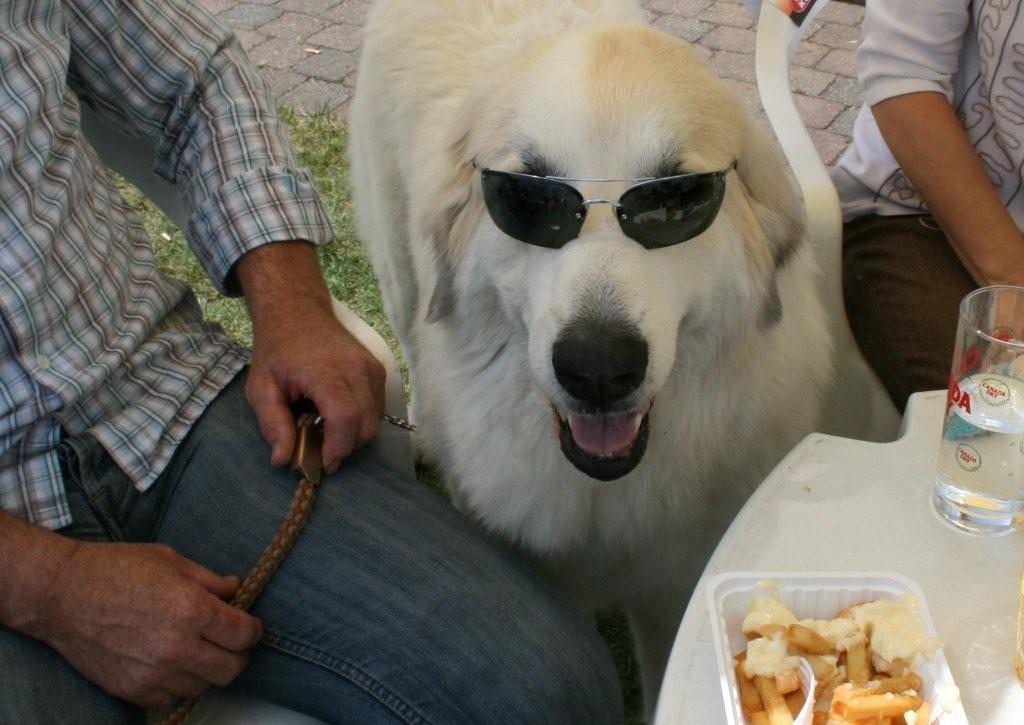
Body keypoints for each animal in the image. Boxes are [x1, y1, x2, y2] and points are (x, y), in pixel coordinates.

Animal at [350, 0, 831, 712]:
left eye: (675, 199)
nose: (598, 369)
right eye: (530, 199)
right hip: (400, 270)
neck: (606, 493)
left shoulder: (677, 588)